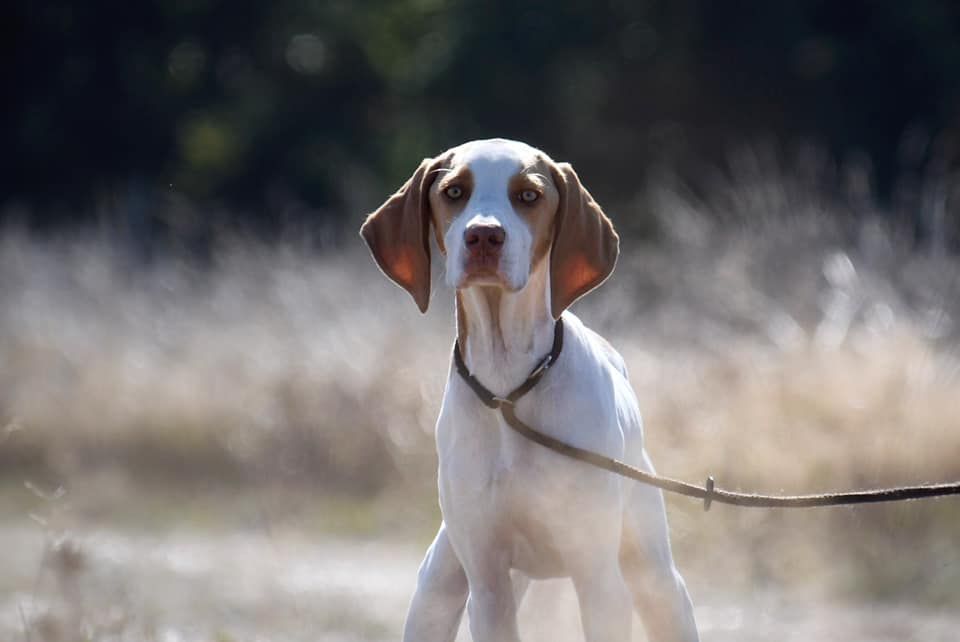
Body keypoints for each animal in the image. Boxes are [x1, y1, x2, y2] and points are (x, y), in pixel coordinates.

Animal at [360, 140, 696, 640]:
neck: (509, 389)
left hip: (653, 578)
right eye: (454, 191)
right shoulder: (488, 582)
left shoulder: (598, 578)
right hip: (438, 591)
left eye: (529, 196)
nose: (483, 236)